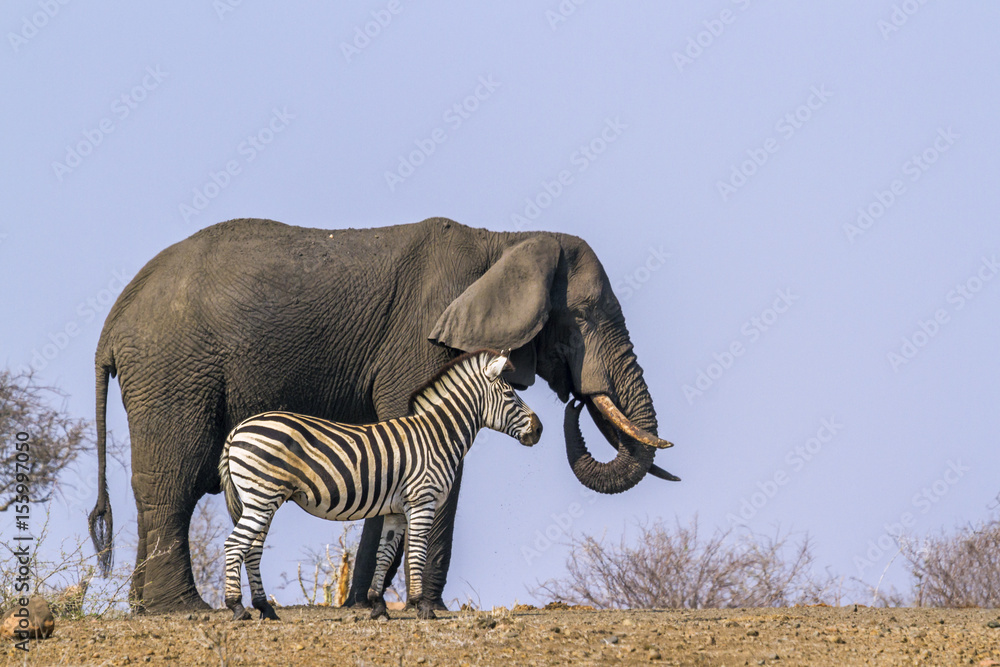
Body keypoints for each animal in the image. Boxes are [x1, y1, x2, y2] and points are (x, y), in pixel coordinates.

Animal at [218, 349, 542, 621]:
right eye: (510, 394)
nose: (539, 429)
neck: (436, 436)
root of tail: (237, 429)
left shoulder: (396, 509)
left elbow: (384, 554)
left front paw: (378, 607)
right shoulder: (422, 501)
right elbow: (417, 551)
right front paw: (423, 608)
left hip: (261, 499)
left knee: (253, 548)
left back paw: (265, 609)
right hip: (262, 496)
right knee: (236, 544)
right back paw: (237, 608)